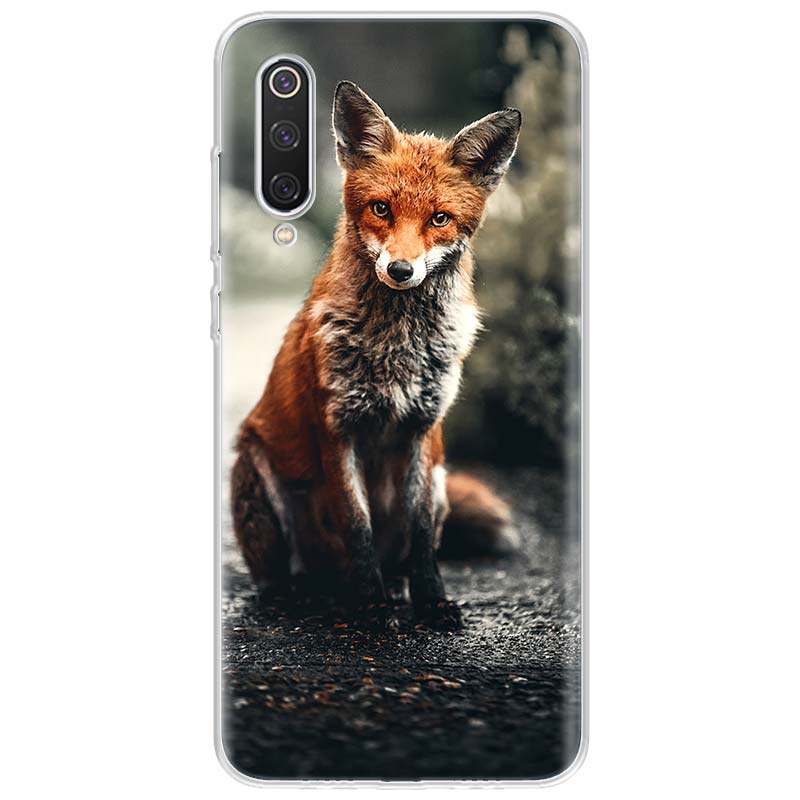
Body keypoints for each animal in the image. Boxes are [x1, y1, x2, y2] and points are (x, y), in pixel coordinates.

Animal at [231, 81, 522, 630]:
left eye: (439, 218)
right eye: (382, 209)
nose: (401, 270)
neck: (396, 348)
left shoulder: (424, 430)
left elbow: (422, 534)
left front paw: (431, 601)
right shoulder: (337, 427)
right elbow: (357, 525)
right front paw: (370, 606)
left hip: (442, 478)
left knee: (404, 554)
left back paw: (394, 588)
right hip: (256, 472)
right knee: (282, 575)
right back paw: (302, 594)